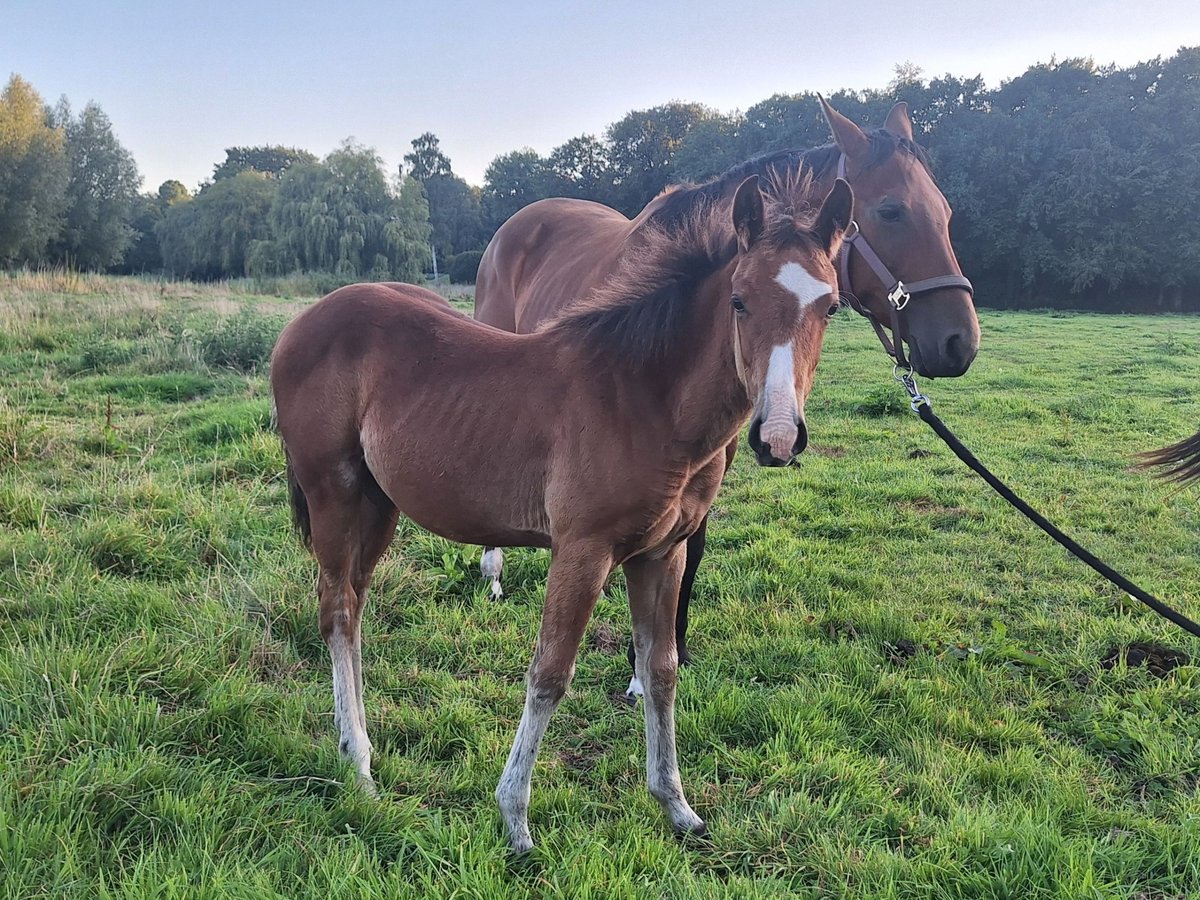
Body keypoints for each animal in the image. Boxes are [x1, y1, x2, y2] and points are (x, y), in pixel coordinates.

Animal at [271, 175, 853, 852]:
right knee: (337, 612)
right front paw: (515, 817)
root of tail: (303, 321)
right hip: (332, 492)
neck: (644, 398)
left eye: (830, 306)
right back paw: (361, 767)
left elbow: (660, 670)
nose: (778, 436)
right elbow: (550, 674)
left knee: (353, 607)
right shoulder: (583, 549)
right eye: (739, 300)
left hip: (377, 502)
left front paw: (676, 806)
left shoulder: (662, 553)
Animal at [474, 97, 980, 695]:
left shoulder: (715, 453)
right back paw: (492, 571)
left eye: (946, 213)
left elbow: (689, 547)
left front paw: (668, 649)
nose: (960, 342)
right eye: (891, 211)